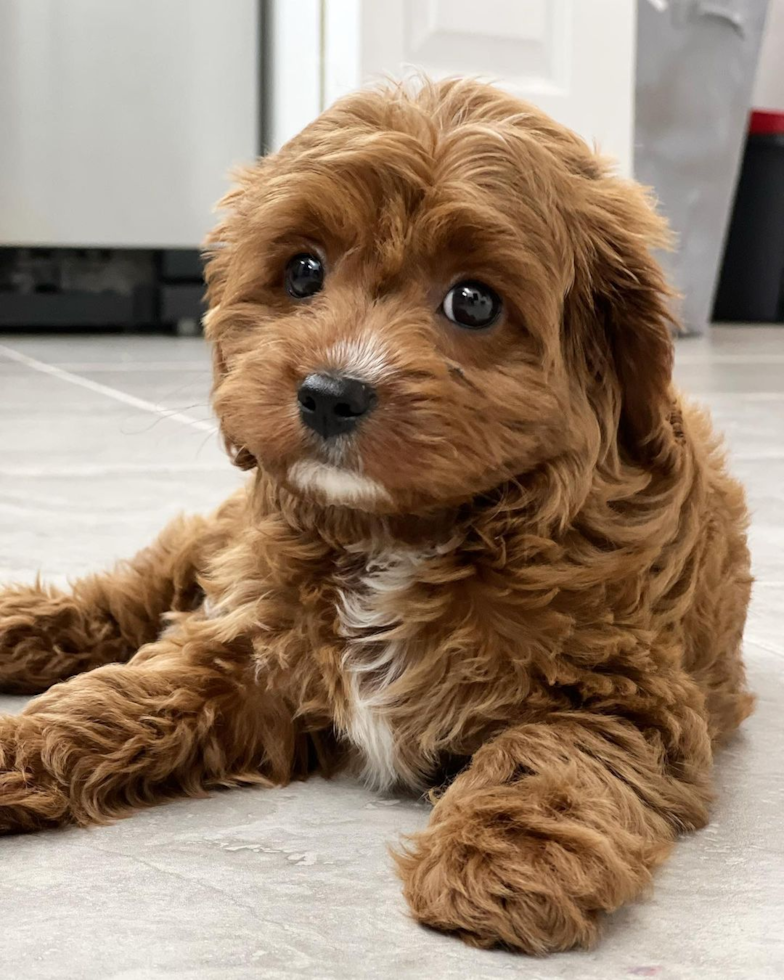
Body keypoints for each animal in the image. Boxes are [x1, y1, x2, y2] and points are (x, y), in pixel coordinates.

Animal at [0, 80, 752, 952]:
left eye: (473, 300)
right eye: (302, 272)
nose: (330, 393)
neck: (398, 535)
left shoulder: (625, 690)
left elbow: (552, 754)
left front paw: (508, 861)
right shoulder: (252, 641)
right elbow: (124, 692)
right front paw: (18, 746)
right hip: (229, 540)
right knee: (140, 588)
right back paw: (18, 628)